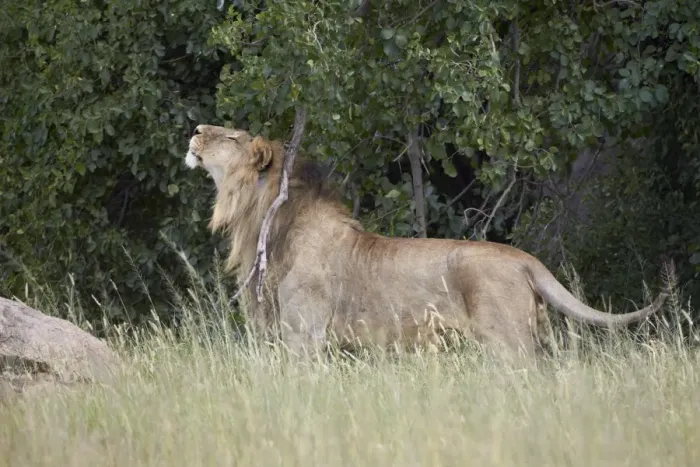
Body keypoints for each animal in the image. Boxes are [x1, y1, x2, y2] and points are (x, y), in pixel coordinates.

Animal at [185, 124, 668, 360]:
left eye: (230, 136)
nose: (195, 128)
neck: (265, 221)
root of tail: (525, 258)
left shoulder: (303, 334)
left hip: (509, 342)